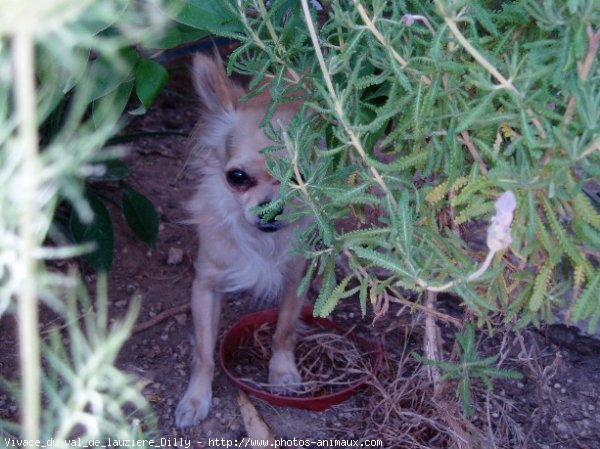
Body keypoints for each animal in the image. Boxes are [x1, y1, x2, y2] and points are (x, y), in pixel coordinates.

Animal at [172, 54, 304, 426]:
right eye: (238, 177)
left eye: (300, 178)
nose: (270, 209)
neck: (259, 240)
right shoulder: (204, 286)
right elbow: (204, 352)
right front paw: (196, 398)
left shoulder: (297, 278)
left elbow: (284, 329)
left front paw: (282, 371)